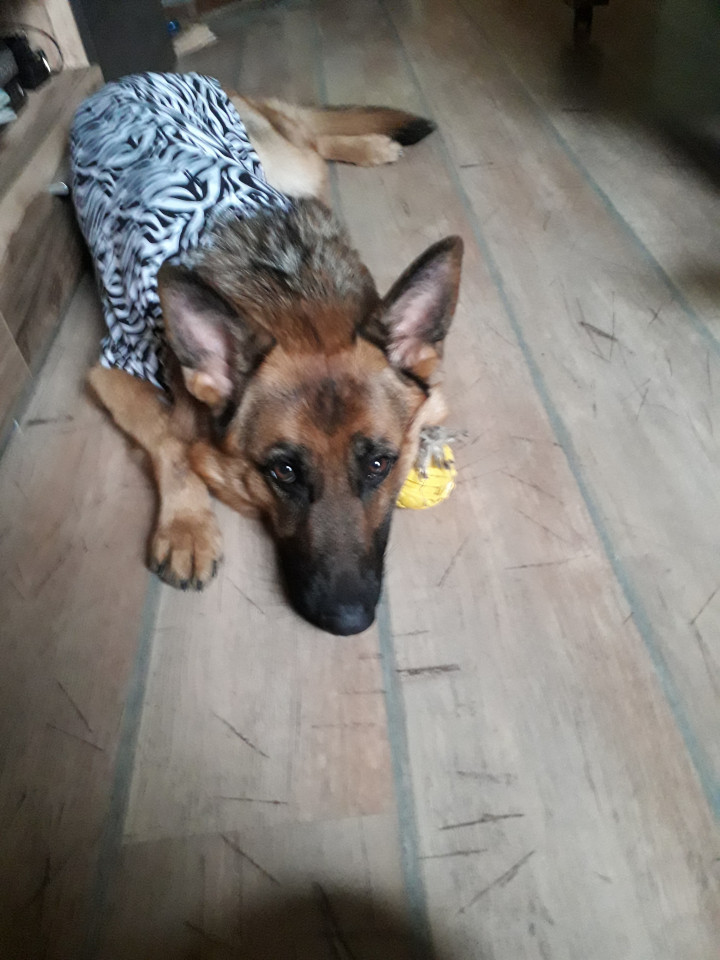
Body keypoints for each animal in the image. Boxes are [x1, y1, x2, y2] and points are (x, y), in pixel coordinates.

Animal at [70, 72, 463, 635]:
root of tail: (130, 77)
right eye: (284, 473)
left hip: (289, 167)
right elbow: (170, 438)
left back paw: (369, 146)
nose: (348, 620)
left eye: (379, 464)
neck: (295, 297)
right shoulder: (113, 369)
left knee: (312, 140)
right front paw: (187, 526)